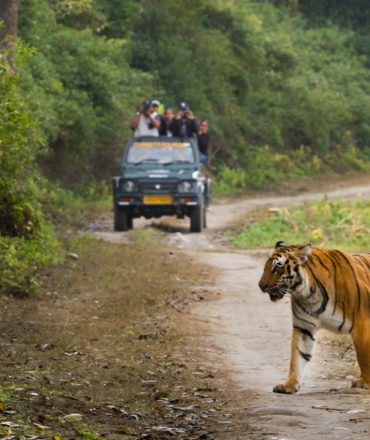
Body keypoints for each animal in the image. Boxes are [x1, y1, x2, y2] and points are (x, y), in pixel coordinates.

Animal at [258, 242, 370, 394]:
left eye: (277, 268)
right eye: (266, 267)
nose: (260, 286)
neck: (309, 294)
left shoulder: (362, 322)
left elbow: (363, 354)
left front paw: (364, 382)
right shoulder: (303, 327)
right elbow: (297, 356)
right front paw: (289, 384)